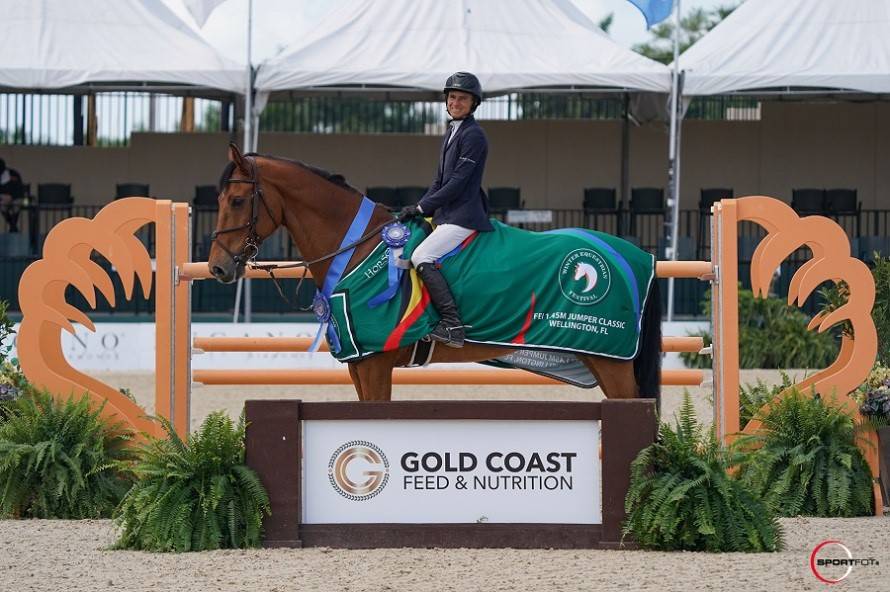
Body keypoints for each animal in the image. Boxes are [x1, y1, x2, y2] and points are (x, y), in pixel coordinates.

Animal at [207, 144, 662, 403]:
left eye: (237, 200)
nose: (217, 267)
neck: (358, 247)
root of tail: (638, 256)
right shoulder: (359, 365)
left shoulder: (375, 365)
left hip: (611, 361)